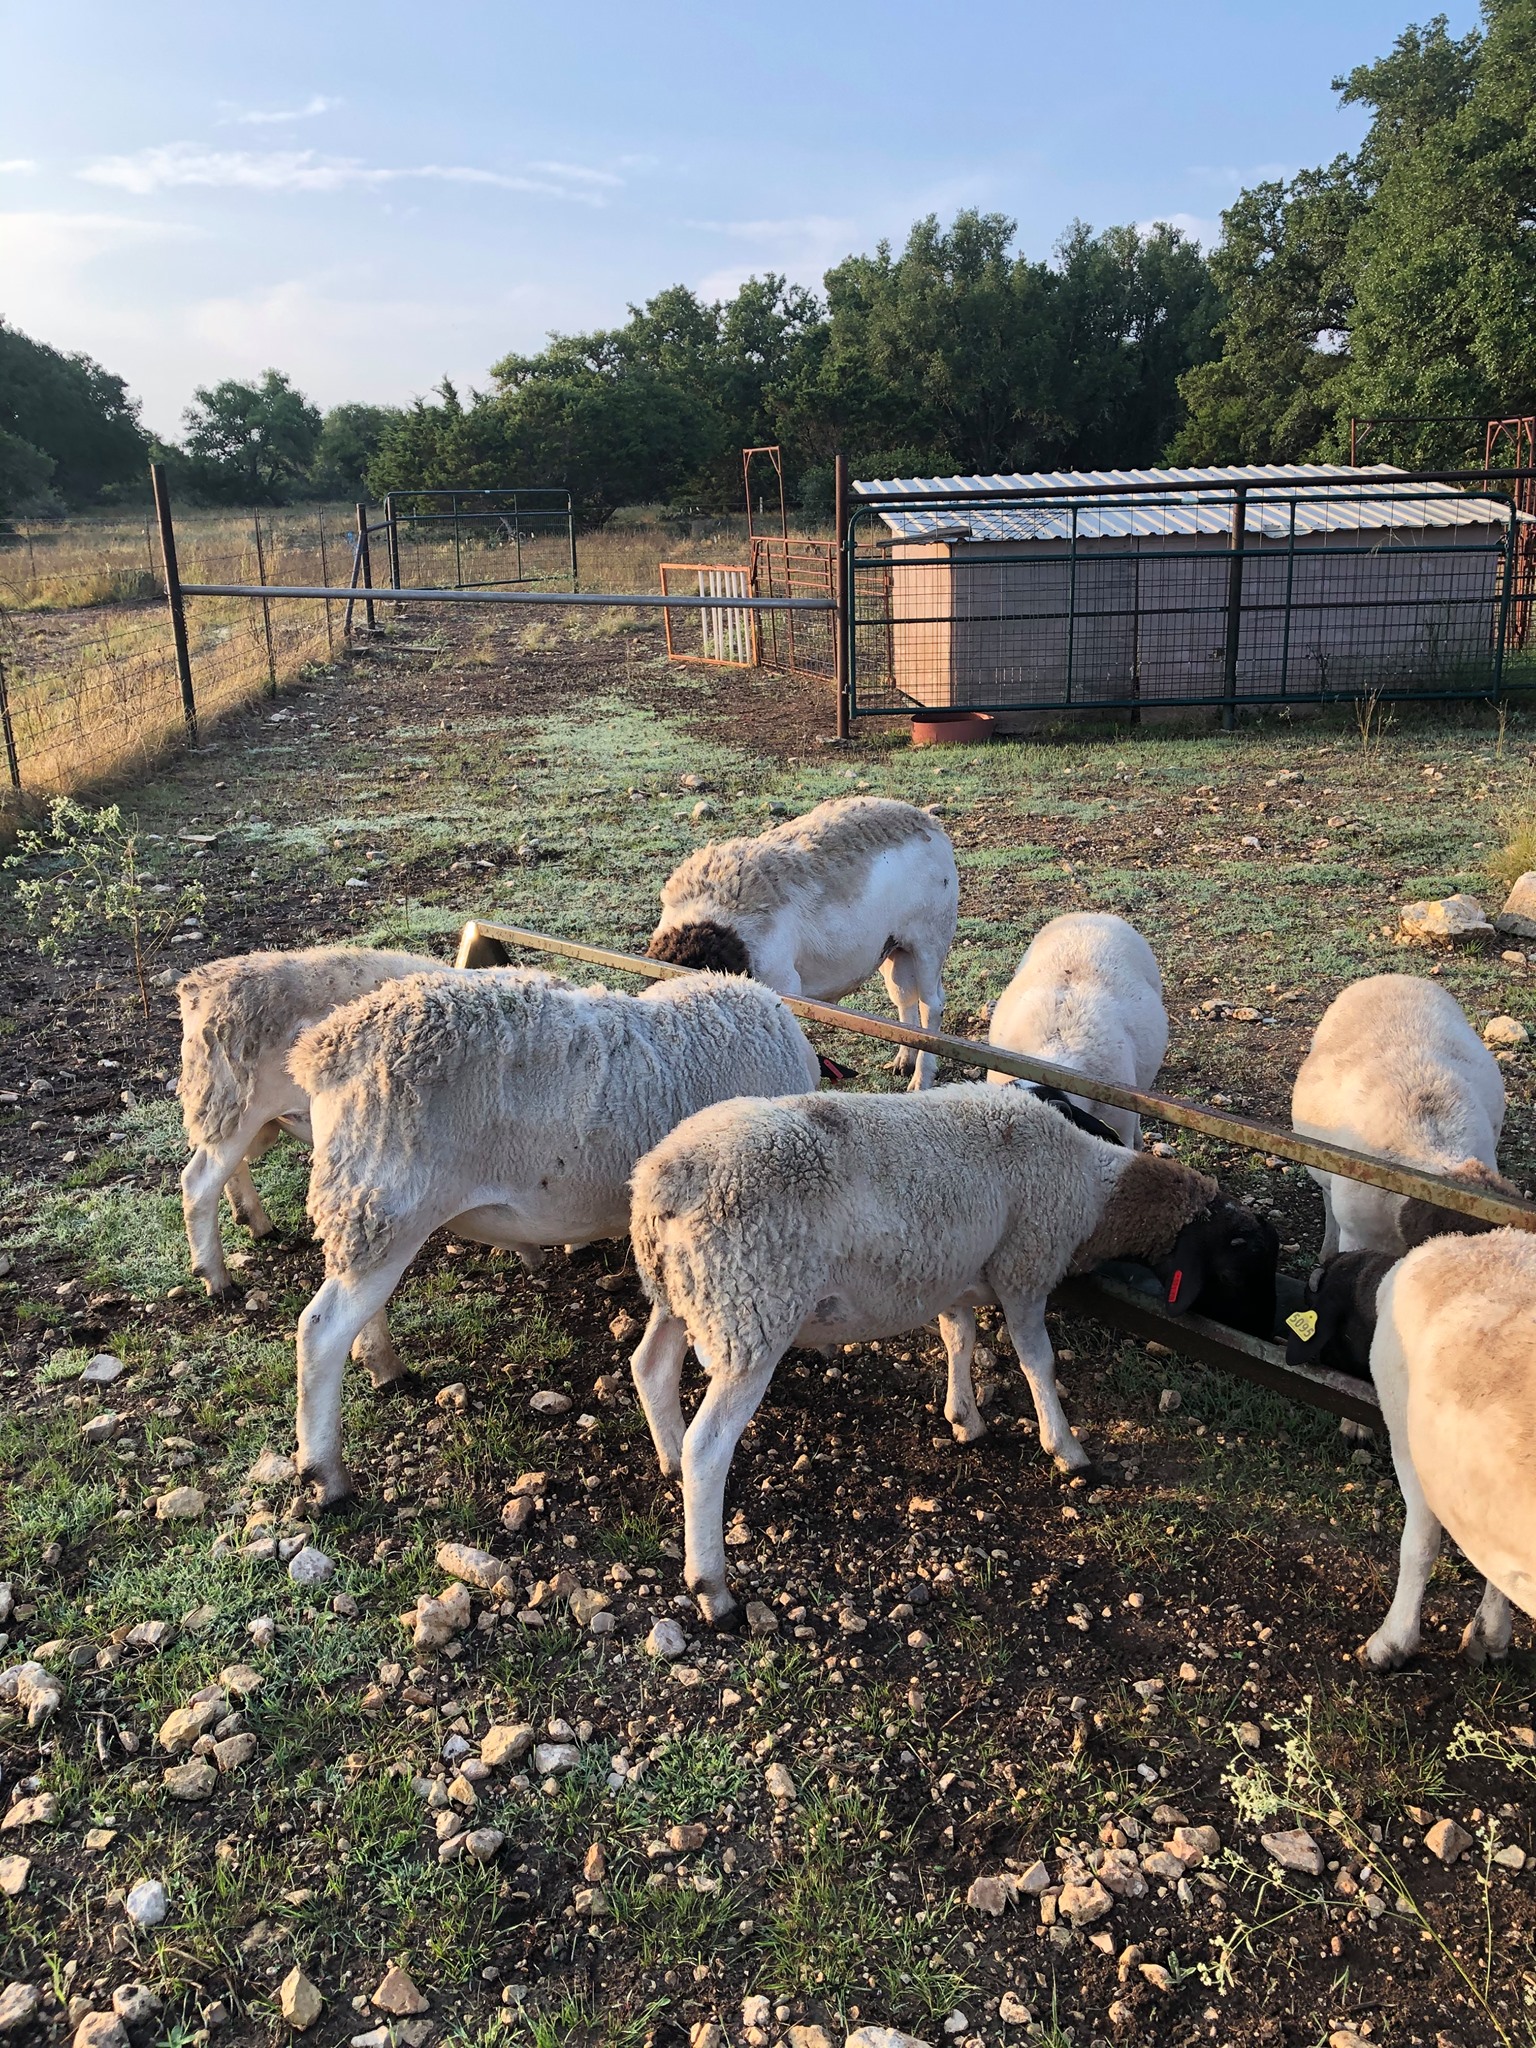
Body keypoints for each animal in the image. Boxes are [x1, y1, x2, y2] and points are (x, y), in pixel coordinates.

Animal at [177, 945, 446, 1301]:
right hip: (235, 1100)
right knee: (199, 1182)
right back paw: (217, 1278)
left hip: (232, 1110)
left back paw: (256, 1222)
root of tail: (199, 986)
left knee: (230, 1168)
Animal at [289, 967, 820, 1505]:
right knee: (320, 1330)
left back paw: (383, 1366)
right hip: (390, 1201)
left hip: (367, 1207)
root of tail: (324, 1049)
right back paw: (326, 1472)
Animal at [627, 1082, 1278, 1624]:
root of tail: (660, 1181)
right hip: (752, 1311)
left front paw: (965, 1417)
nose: (1275, 1339)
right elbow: (1038, 1362)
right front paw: (1066, 1449)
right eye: (1243, 1257)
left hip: (683, 1296)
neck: (1092, 1188)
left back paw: (670, 1463)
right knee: (709, 1446)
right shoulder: (1024, 1268)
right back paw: (713, 1589)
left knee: (650, 1368)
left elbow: (959, 1338)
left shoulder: (955, 1275)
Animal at [645, 795, 958, 1088]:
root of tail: (926, 820)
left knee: (931, 1005)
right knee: (905, 997)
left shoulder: (784, 983)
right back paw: (904, 1062)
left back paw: (921, 1079)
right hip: (893, 948)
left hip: (932, 937)